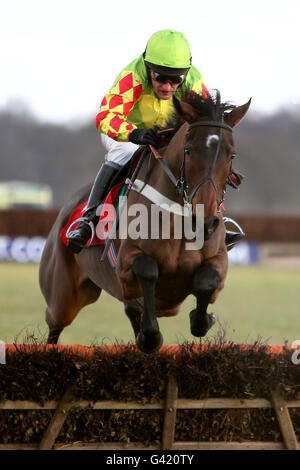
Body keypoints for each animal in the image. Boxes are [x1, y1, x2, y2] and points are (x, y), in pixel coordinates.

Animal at [39, 91, 251, 352]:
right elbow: (147, 270)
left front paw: (204, 319)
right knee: (54, 328)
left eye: (231, 155)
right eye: (188, 151)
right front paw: (150, 337)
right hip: (63, 297)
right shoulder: (126, 262)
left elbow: (207, 282)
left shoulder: (218, 258)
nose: (204, 222)